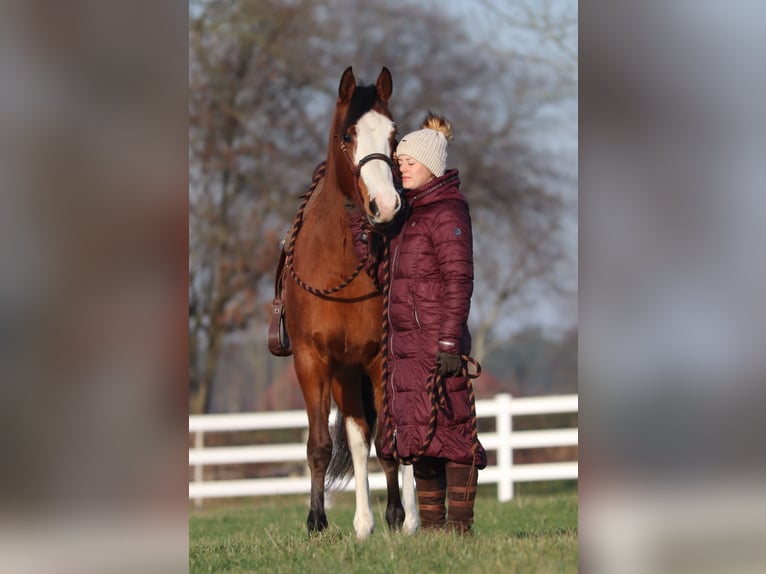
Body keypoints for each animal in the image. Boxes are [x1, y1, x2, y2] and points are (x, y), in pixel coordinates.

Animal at [282, 67, 418, 539]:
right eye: (348, 134)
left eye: (394, 135)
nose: (387, 205)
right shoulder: (313, 361)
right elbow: (322, 445)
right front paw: (317, 520)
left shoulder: (379, 359)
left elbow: (390, 445)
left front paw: (395, 516)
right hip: (344, 377)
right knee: (358, 438)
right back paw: (362, 522)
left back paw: (411, 518)